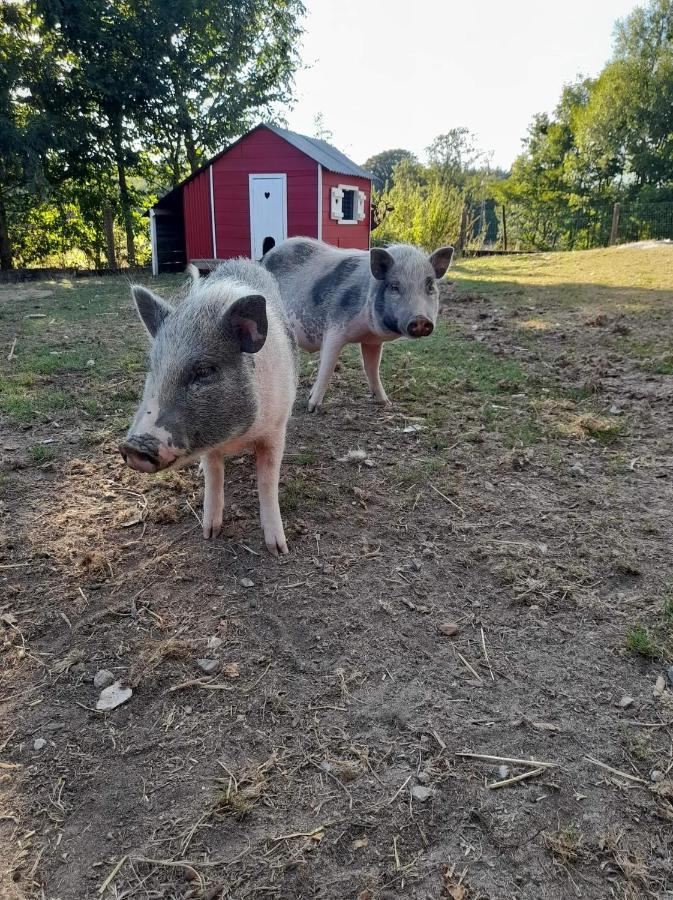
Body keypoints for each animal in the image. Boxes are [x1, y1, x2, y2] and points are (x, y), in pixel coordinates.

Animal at [119, 256, 298, 556]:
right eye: (153, 368)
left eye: (203, 372)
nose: (133, 446)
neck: (239, 436)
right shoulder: (210, 448)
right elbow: (214, 477)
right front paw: (210, 534)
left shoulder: (275, 429)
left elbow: (267, 480)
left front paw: (279, 549)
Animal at [262, 237, 452, 410]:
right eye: (394, 286)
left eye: (430, 285)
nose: (420, 319)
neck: (366, 329)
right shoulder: (334, 330)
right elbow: (327, 369)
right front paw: (312, 407)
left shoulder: (373, 341)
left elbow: (372, 369)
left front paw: (386, 403)